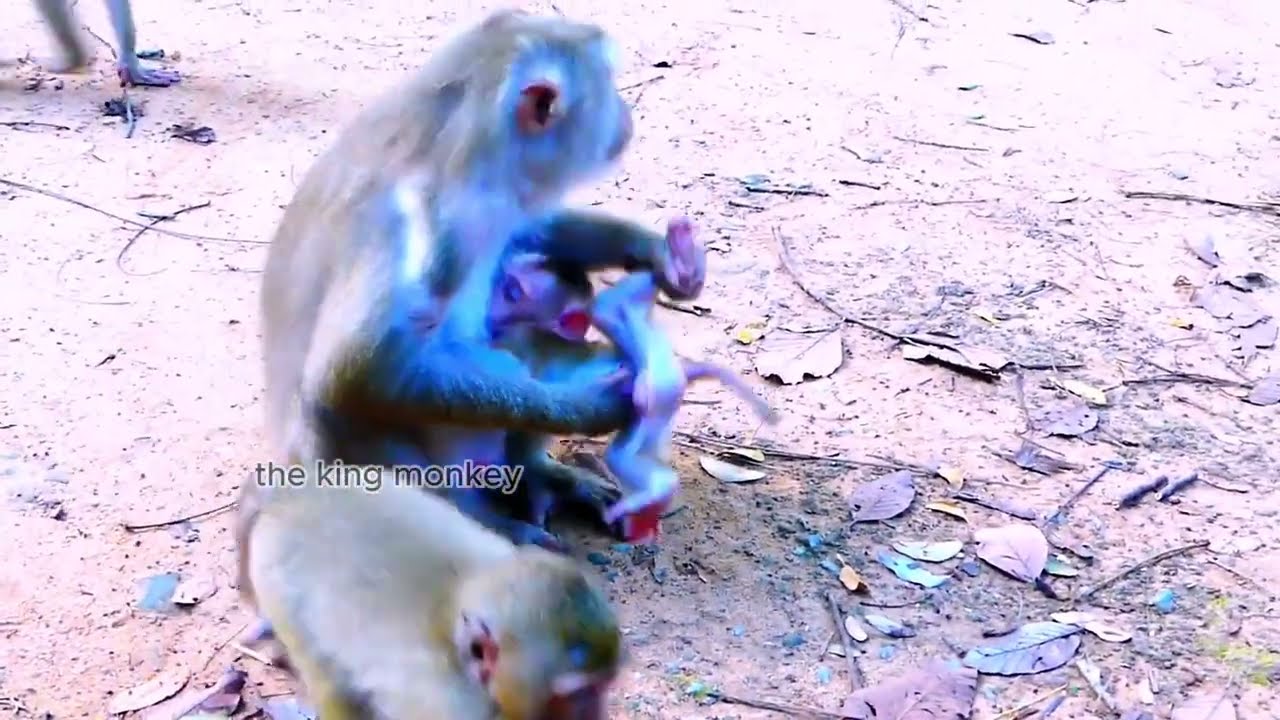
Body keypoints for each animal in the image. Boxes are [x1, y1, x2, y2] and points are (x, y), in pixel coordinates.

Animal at [236, 467, 624, 720]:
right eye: (580, 695)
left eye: (604, 686)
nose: (595, 716)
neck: (451, 613)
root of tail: (291, 495)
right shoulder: (446, 707)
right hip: (275, 583)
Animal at [259, 8, 706, 537]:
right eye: (608, 83)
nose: (625, 116)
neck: (460, 142)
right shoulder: (421, 224)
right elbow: (352, 373)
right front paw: (588, 406)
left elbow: (529, 231)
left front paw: (663, 256)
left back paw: (537, 474)